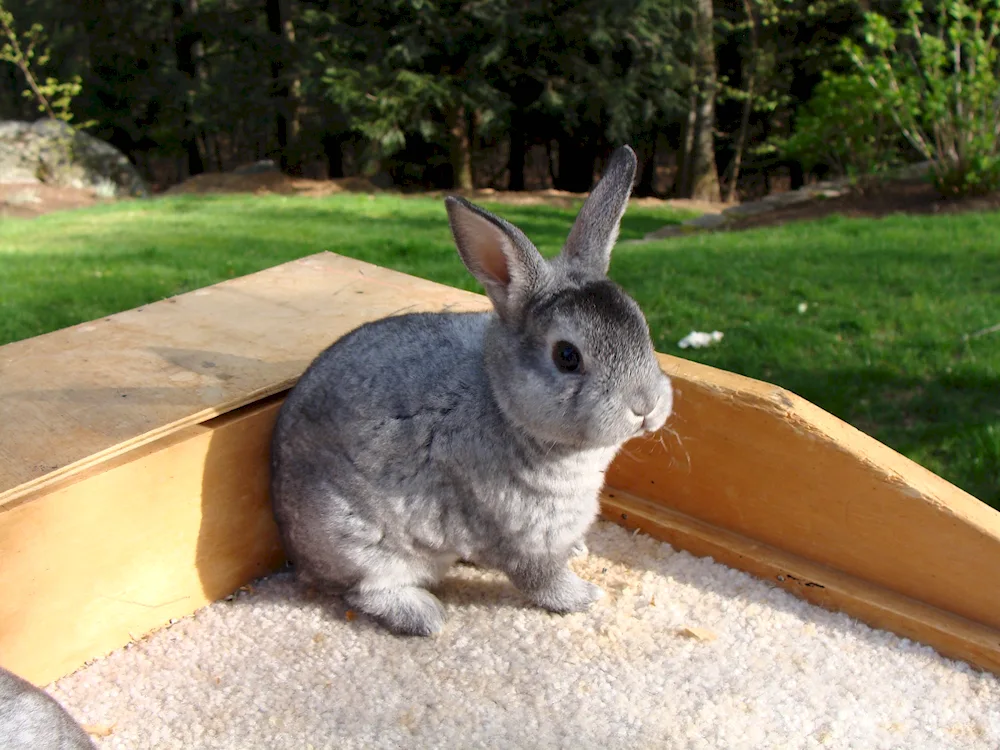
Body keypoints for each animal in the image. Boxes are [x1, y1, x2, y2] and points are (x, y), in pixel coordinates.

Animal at [272, 144, 672, 636]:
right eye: (567, 356)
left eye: (641, 326)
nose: (646, 406)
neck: (503, 405)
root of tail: (297, 553)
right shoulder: (521, 536)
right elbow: (541, 580)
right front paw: (584, 597)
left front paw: (580, 555)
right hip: (364, 546)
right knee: (364, 591)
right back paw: (426, 616)